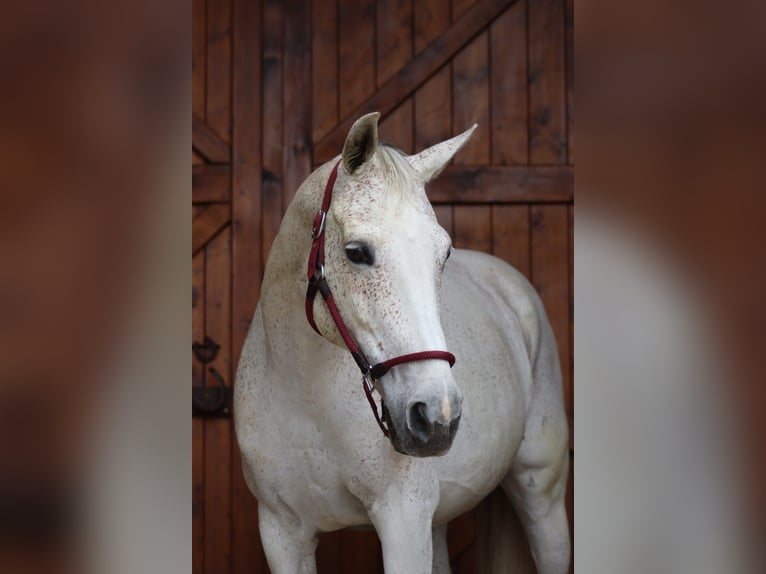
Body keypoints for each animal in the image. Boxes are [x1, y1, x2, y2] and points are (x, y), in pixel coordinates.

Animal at [237, 113, 572, 574]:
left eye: (444, 254)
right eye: (356, 251)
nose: (437, 415)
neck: (305, 399)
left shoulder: (403, 521)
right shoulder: (282, 533)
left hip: (541, 491)